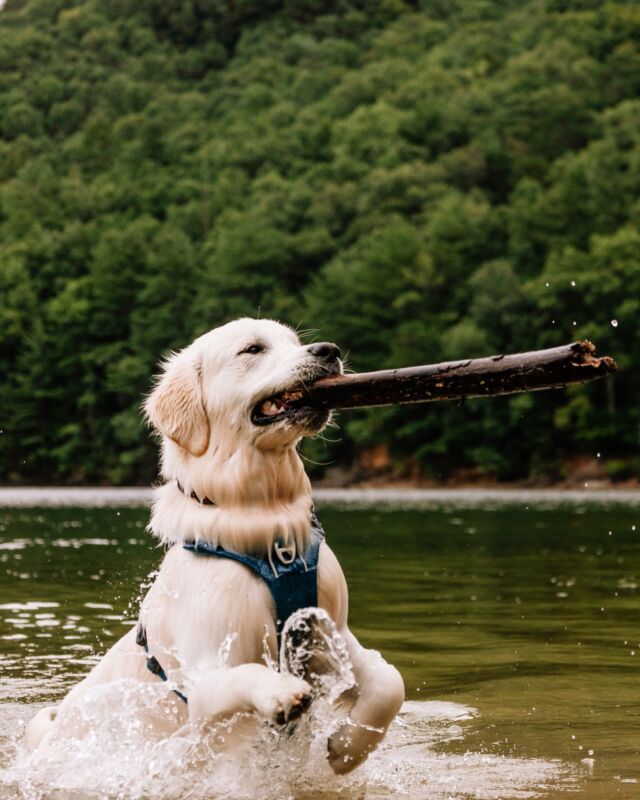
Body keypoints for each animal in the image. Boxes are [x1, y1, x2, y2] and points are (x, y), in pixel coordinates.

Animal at [27, 318, 404, 776]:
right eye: (253, 349)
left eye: (296, 341)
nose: (329, 350)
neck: (264, 520)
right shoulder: (204, 675)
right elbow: (242, 674)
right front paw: (281, 692)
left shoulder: (333, 629)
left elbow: (390, 683)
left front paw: (347, 747)